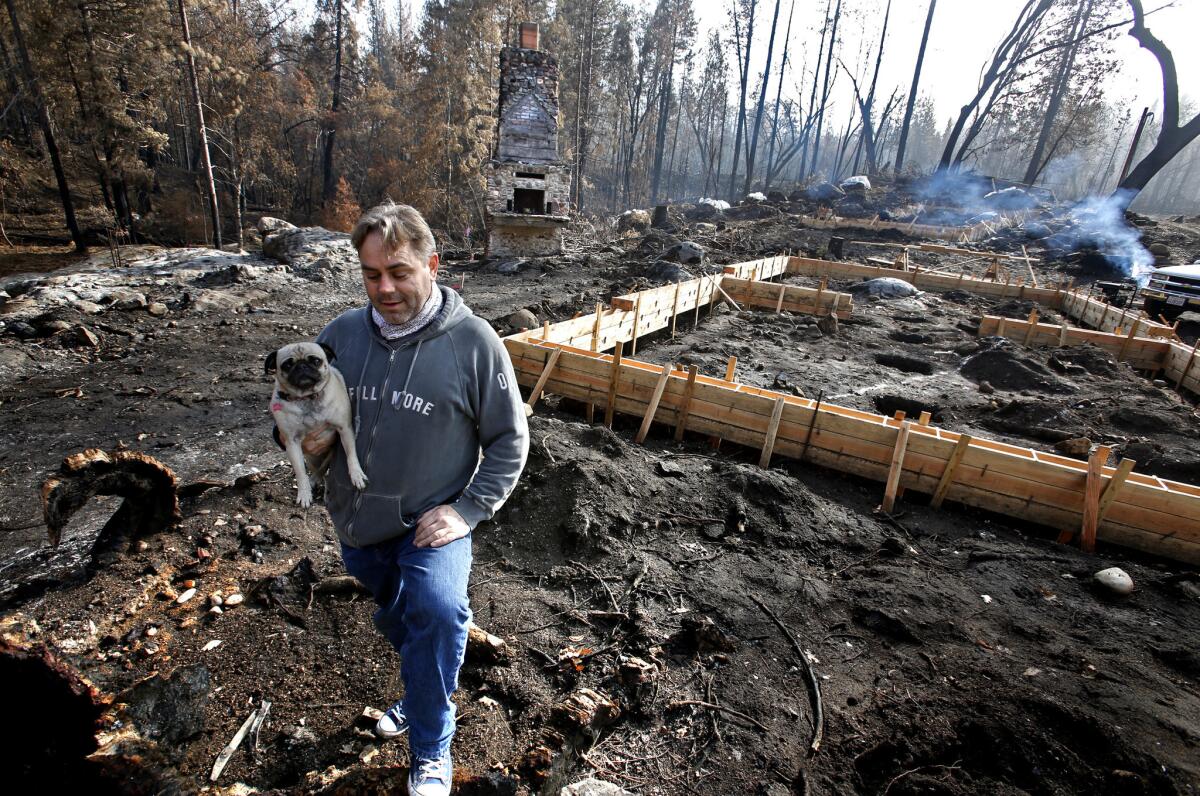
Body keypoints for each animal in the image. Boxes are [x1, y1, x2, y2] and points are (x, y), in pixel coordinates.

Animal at [266, 340, 364, 504]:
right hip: (311, 458)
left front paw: (356, 474)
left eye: (316, 361)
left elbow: (351, 455)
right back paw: (315, 482)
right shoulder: (292, 442)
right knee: (319, 472)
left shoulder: (344, 428)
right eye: (287, 365)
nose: (302, 366)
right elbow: (300, 472)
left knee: (324, 469)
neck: (307, 397)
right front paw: (304, 494)